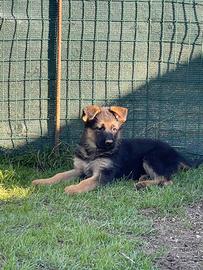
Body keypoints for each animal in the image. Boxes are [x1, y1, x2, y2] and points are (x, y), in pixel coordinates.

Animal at [32, 105, 192, 194]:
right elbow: (58, 175)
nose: (109, 143)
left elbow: (85, 182)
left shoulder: (104, 174)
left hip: (152, 157)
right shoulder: (79, 169)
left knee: (166, 180)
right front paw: (42, 181)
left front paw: (73, 189)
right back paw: (143, 178)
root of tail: (177, 154)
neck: (93, 152)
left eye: (114, 129)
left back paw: (143, 184)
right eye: (99, 129)